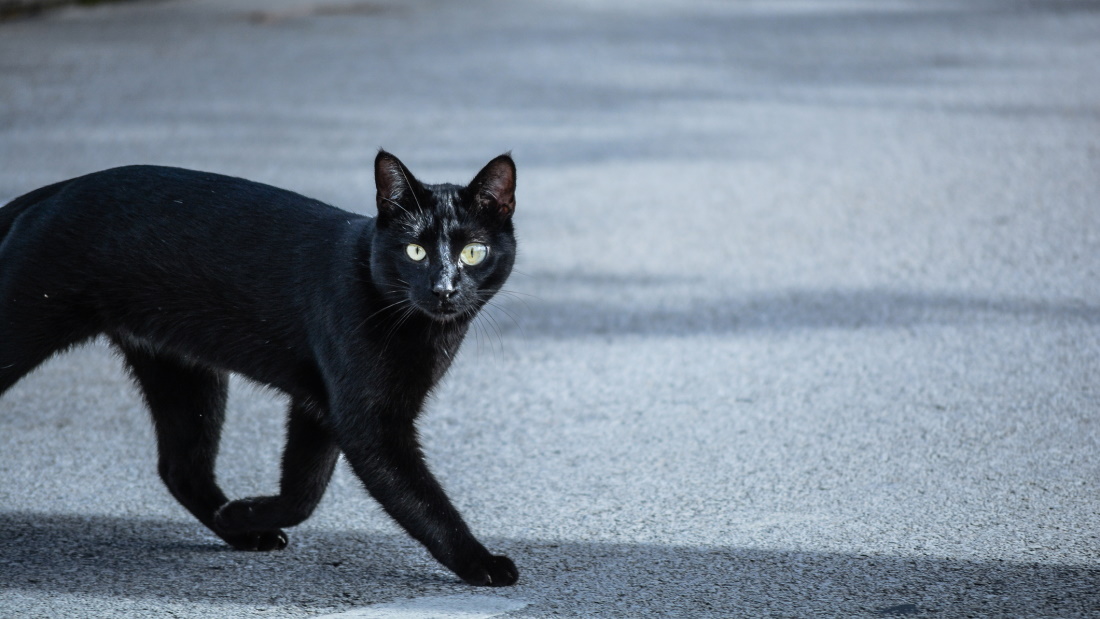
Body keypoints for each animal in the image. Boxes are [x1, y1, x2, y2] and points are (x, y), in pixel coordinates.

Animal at [0, 152, 519, 589]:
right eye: (415, 251)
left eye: (473, 252)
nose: (443, 288)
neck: (421, 331)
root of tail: (58, 188)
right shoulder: (367, 422)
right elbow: (421, 499)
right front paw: (481, 562)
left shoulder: (320, 406)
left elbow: (304, 490)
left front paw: (243, 514)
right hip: (26, 332)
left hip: (182, 373)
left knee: (180, 468)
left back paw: (237, 530)